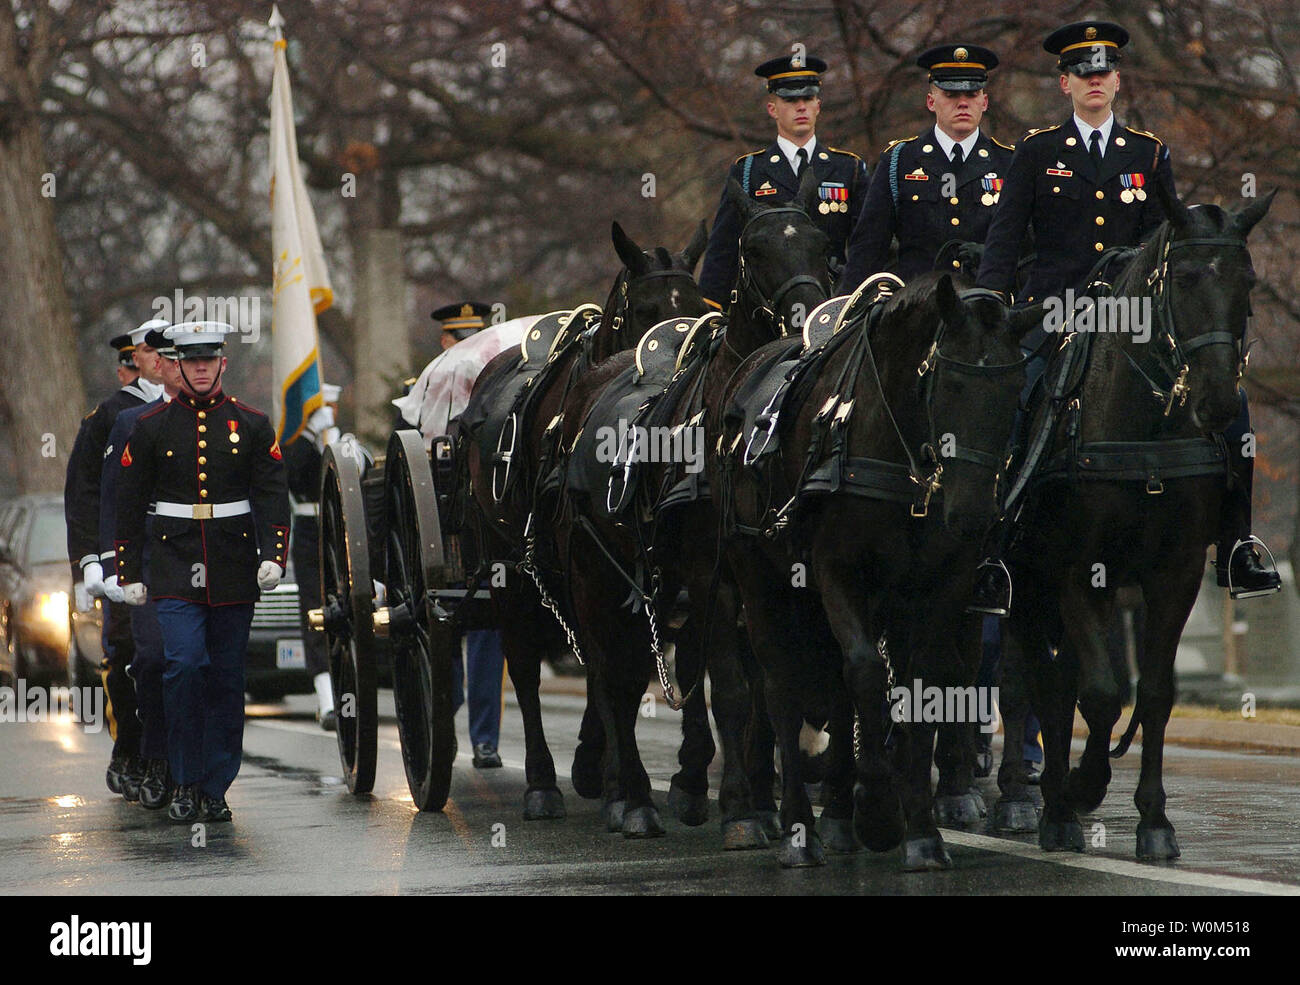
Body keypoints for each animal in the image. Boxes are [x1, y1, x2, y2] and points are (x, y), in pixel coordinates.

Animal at [452, 219, 707, 821]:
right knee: (524, 668)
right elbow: (606, 665)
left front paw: (607, 771)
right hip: (510, 569)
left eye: (697, 306)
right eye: (644, 311)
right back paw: (542, 782)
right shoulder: (585, 564)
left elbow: (616, 667)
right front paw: (616, 780)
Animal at [561, 167, 832, 842]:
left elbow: (763, 689)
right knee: (612, 676)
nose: (808, 319)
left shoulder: (761, 576)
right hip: (594, 577)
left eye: (822, 244)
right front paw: (737, 807)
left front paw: (761, 796)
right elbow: (731, 691)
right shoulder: (717, 582)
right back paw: (629, 796)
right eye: (753, 250)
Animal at [712, 274, 1034, 868]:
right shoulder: (838, 572)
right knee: (782, 689)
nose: (974, 515)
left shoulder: (938, 588)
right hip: (762, 583)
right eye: (949, 384)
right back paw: (797, 827)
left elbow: (919, 687)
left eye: (1014, 389)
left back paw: (838, 814)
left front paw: (921, 830)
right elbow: (863, 672)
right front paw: (881, 812)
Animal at [987, 188, 1274, 862]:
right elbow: (1097, 693)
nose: (1218, 402)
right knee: (1033, 683)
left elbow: (1155, 694)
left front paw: (1154, 822)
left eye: (1248, 281)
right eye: (1185, 277)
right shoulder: (1076, 572)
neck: (1145, 431)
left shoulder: (1174, 576)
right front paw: (1082, 788)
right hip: (1027, 585)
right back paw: (1039, 802)